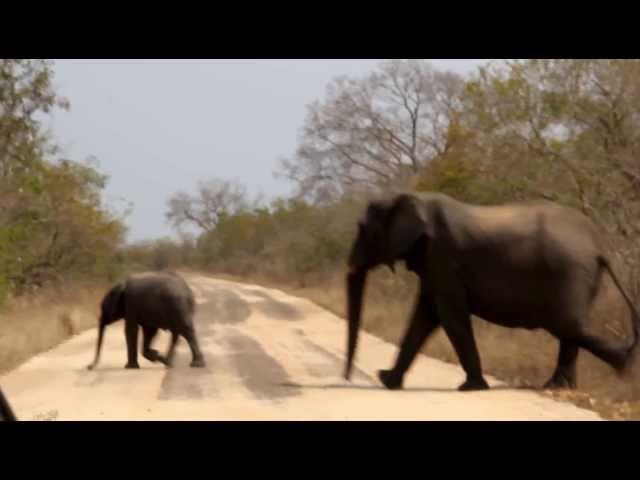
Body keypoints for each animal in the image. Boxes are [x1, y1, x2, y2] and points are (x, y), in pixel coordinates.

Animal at [344, 193, 640, 392]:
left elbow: (449, 316)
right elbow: (425, 316)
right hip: (581, 276)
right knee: (570, 328)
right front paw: (387, 379)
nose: (346, 378)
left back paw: (623, 368)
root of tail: (598, 246)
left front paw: (471, 388)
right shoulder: (432, 263)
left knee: (564, 325)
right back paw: (558, 387)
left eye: (362, 230)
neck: (414, 199)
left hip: (569, 272)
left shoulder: (443, 258)